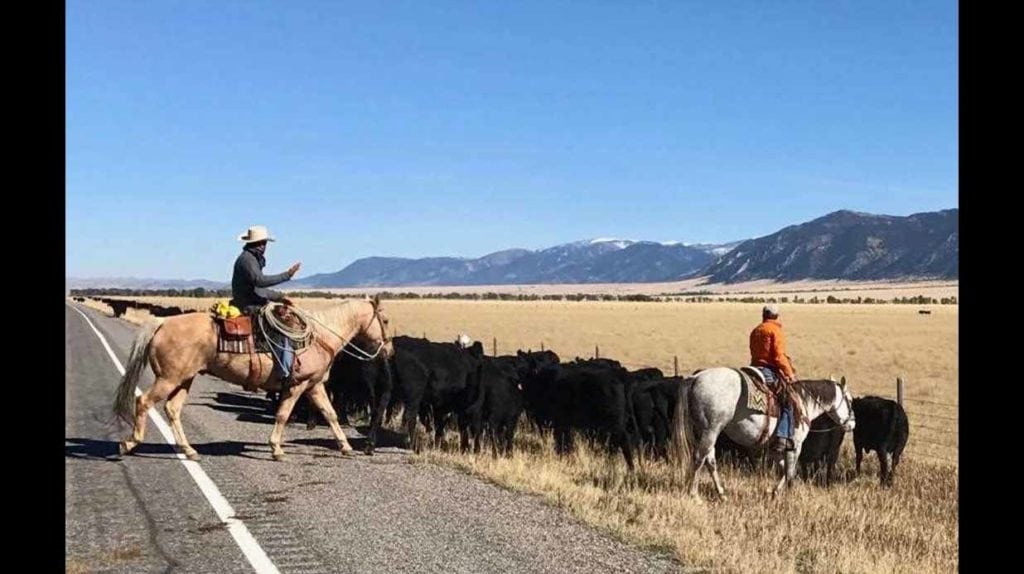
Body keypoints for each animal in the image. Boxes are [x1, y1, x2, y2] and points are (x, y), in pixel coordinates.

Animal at [114, 296, 393, 458]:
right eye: (386, 320)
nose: (389, 350)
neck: (319, 337)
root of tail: (162, 322)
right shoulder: (297, 386)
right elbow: (283, 415)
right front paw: (276, 448)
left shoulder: (314, 386)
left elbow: (331, 414)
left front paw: (345, 447)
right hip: (168, 379)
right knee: (143, 402)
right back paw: (129, 444)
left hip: (184, 379)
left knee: (172, 409)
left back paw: (189, 450)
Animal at [671, 366, 856, 497]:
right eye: (850, 400)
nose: (852, 424)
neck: (803, 401)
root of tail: (695, 378)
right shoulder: (795, 445)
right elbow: (790, 471)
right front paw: (790, 494)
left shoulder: (775, 447)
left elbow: (784, 469)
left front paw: (774, 492)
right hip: (710, 430)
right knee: (699, 458)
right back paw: (694, 494)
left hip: (704, 432)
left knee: (710, 460)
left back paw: (722, 493)